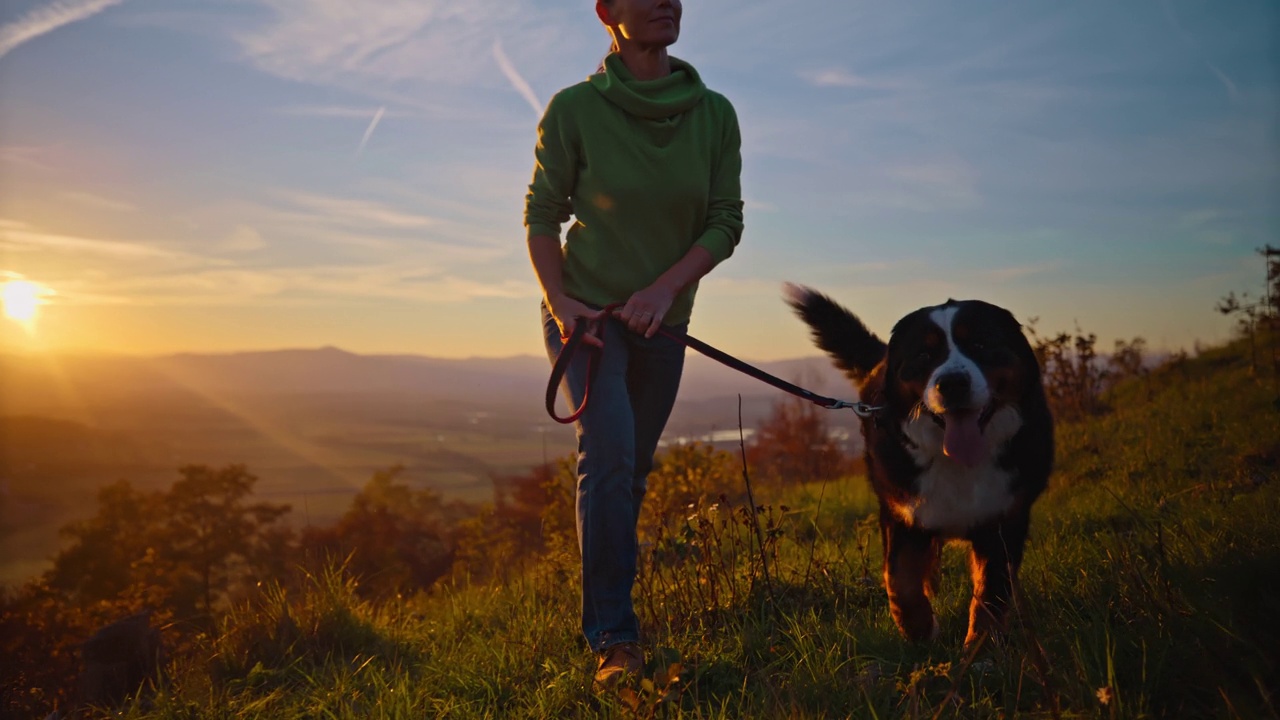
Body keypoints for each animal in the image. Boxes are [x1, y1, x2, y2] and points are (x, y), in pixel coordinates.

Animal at [783, 281, 1054, 645]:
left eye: (981, 343)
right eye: (924, 355)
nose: (952, 383)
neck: (955, 462)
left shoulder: (1003, 518)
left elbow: (991, 594)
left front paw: (980, 649)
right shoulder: (902, 512)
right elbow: (900, 579)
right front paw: (920, 629)